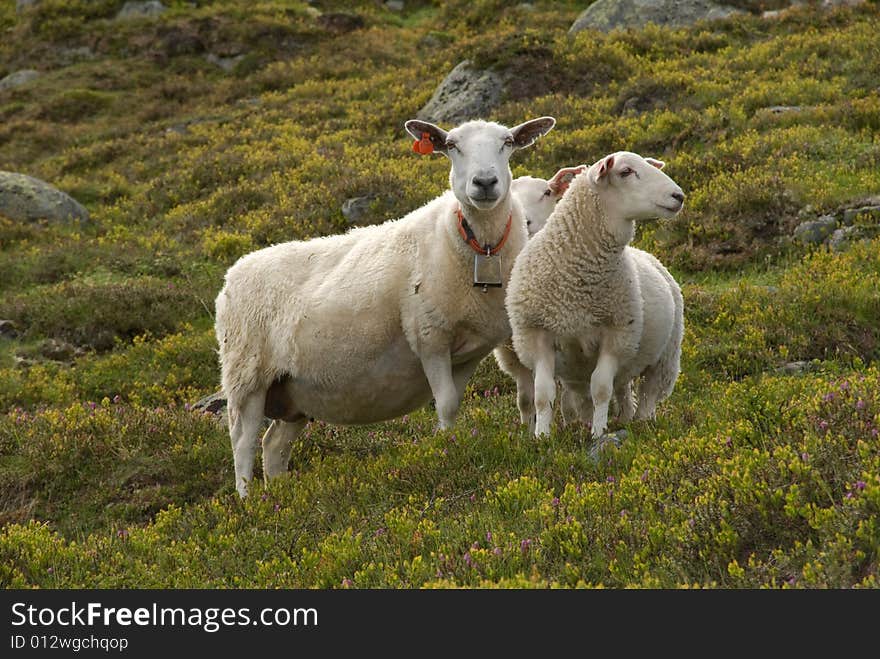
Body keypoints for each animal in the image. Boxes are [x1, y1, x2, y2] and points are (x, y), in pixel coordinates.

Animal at [214, 114, 552, 496]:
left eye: (507, 142)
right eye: (451, 145)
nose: (484, 183)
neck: (479, 244)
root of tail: (231, 277)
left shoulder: (468, 351)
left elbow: (455, 402)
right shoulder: (428, 337)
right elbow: (447, 405)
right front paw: (448, 451)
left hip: (293, 391)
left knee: (273, 444)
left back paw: (280, 496)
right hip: (246, 376)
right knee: (243, 444)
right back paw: (248, 500)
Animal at [502, 150, 688, 438]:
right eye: (625, 171)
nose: (678, 196)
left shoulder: (616, 334)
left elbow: (601, 388)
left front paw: (598, 433)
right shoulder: (537, 334)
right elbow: (542, 394)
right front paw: (542, 437)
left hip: (666, 354)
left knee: (649, 391)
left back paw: (641, 423)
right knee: (621, 390)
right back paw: (621, 418)